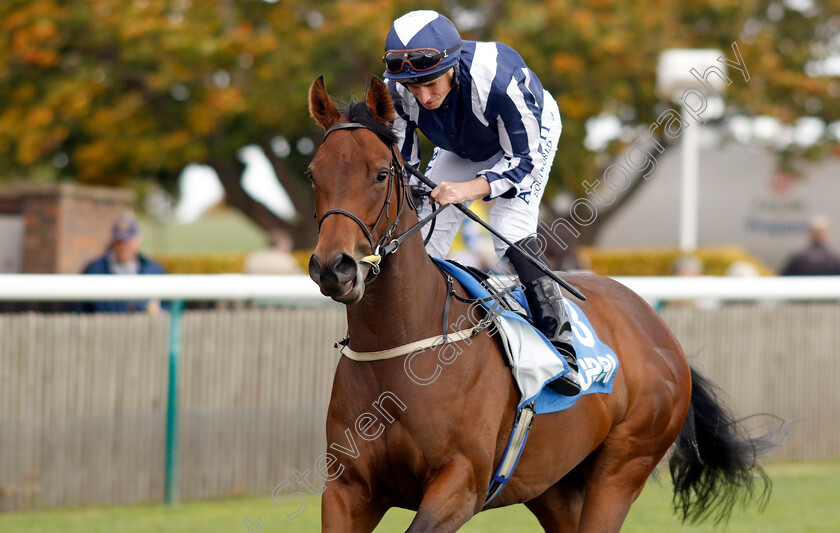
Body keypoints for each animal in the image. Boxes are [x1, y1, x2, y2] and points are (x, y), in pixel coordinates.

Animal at [306, 76, 772, 532]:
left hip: (623, 468)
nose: (334, 267)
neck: (400, 348)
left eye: (381, 174)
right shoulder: (347, 490)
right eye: (313, 174)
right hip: (551, 484)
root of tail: (659, 331)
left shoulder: (461, 484)